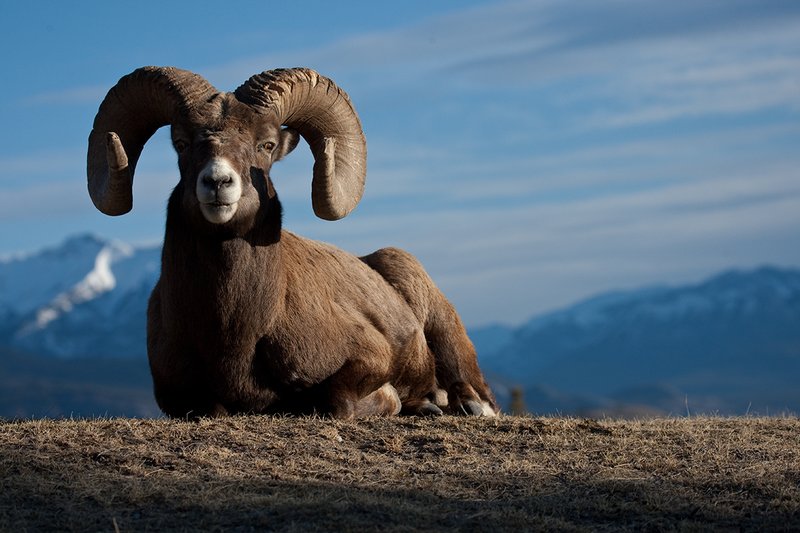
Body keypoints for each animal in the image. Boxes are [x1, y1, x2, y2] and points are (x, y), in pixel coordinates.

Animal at [87, 66, 498, 419]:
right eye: (182, 143)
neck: (236, 332)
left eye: (267, 145)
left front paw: (394, 401)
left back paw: (462, 406)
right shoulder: (178, 396)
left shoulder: (370, 356)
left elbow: (337, 402)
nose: (217, 183)